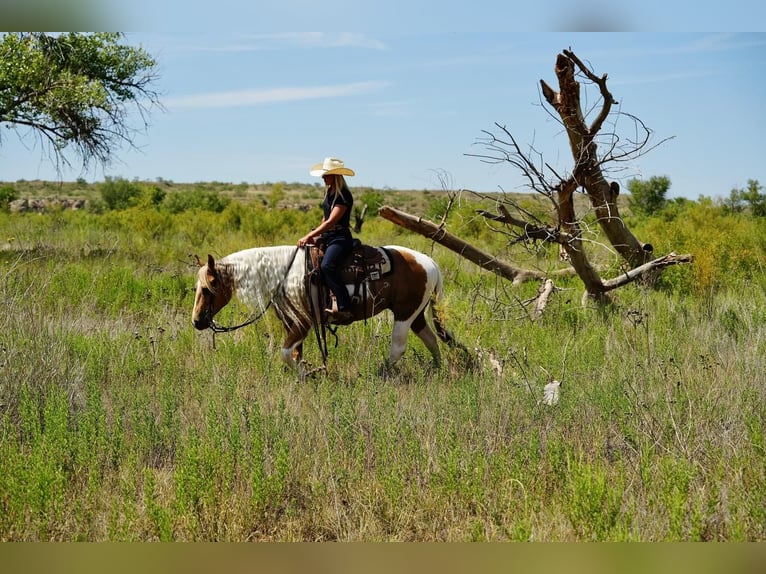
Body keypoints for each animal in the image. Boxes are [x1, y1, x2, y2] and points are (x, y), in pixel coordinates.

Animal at [195, 243, 464, 374]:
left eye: (209, 288)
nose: (196, 321)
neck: (284, 274)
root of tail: (429, 262)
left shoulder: (304, 323)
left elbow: (285, 353)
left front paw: (308, 374)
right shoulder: (293, 323)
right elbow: (294, 353)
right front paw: (305, 372)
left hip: (404, 315)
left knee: (398, 348)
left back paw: (380, 373)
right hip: (415, 314)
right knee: (431, 339)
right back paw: (438, 369)